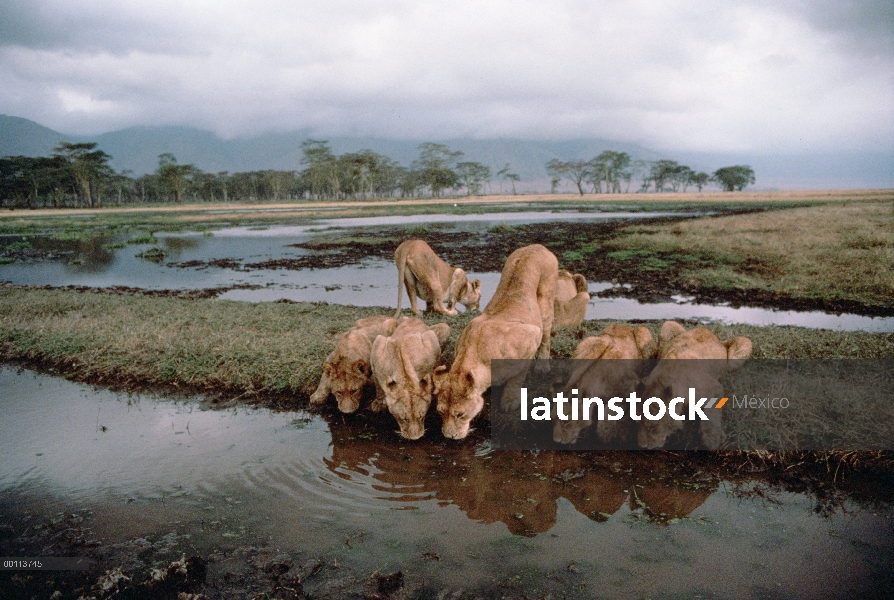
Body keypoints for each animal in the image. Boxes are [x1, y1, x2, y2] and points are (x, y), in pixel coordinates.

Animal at [436, 244, 560, 440]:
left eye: (460, 414)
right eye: (441, 412)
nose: (449, 436)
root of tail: (537, 246)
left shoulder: (530, 337)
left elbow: (517, 377)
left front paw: (510, 400)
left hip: (545, 302)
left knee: (546, 336)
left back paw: (542, 366)